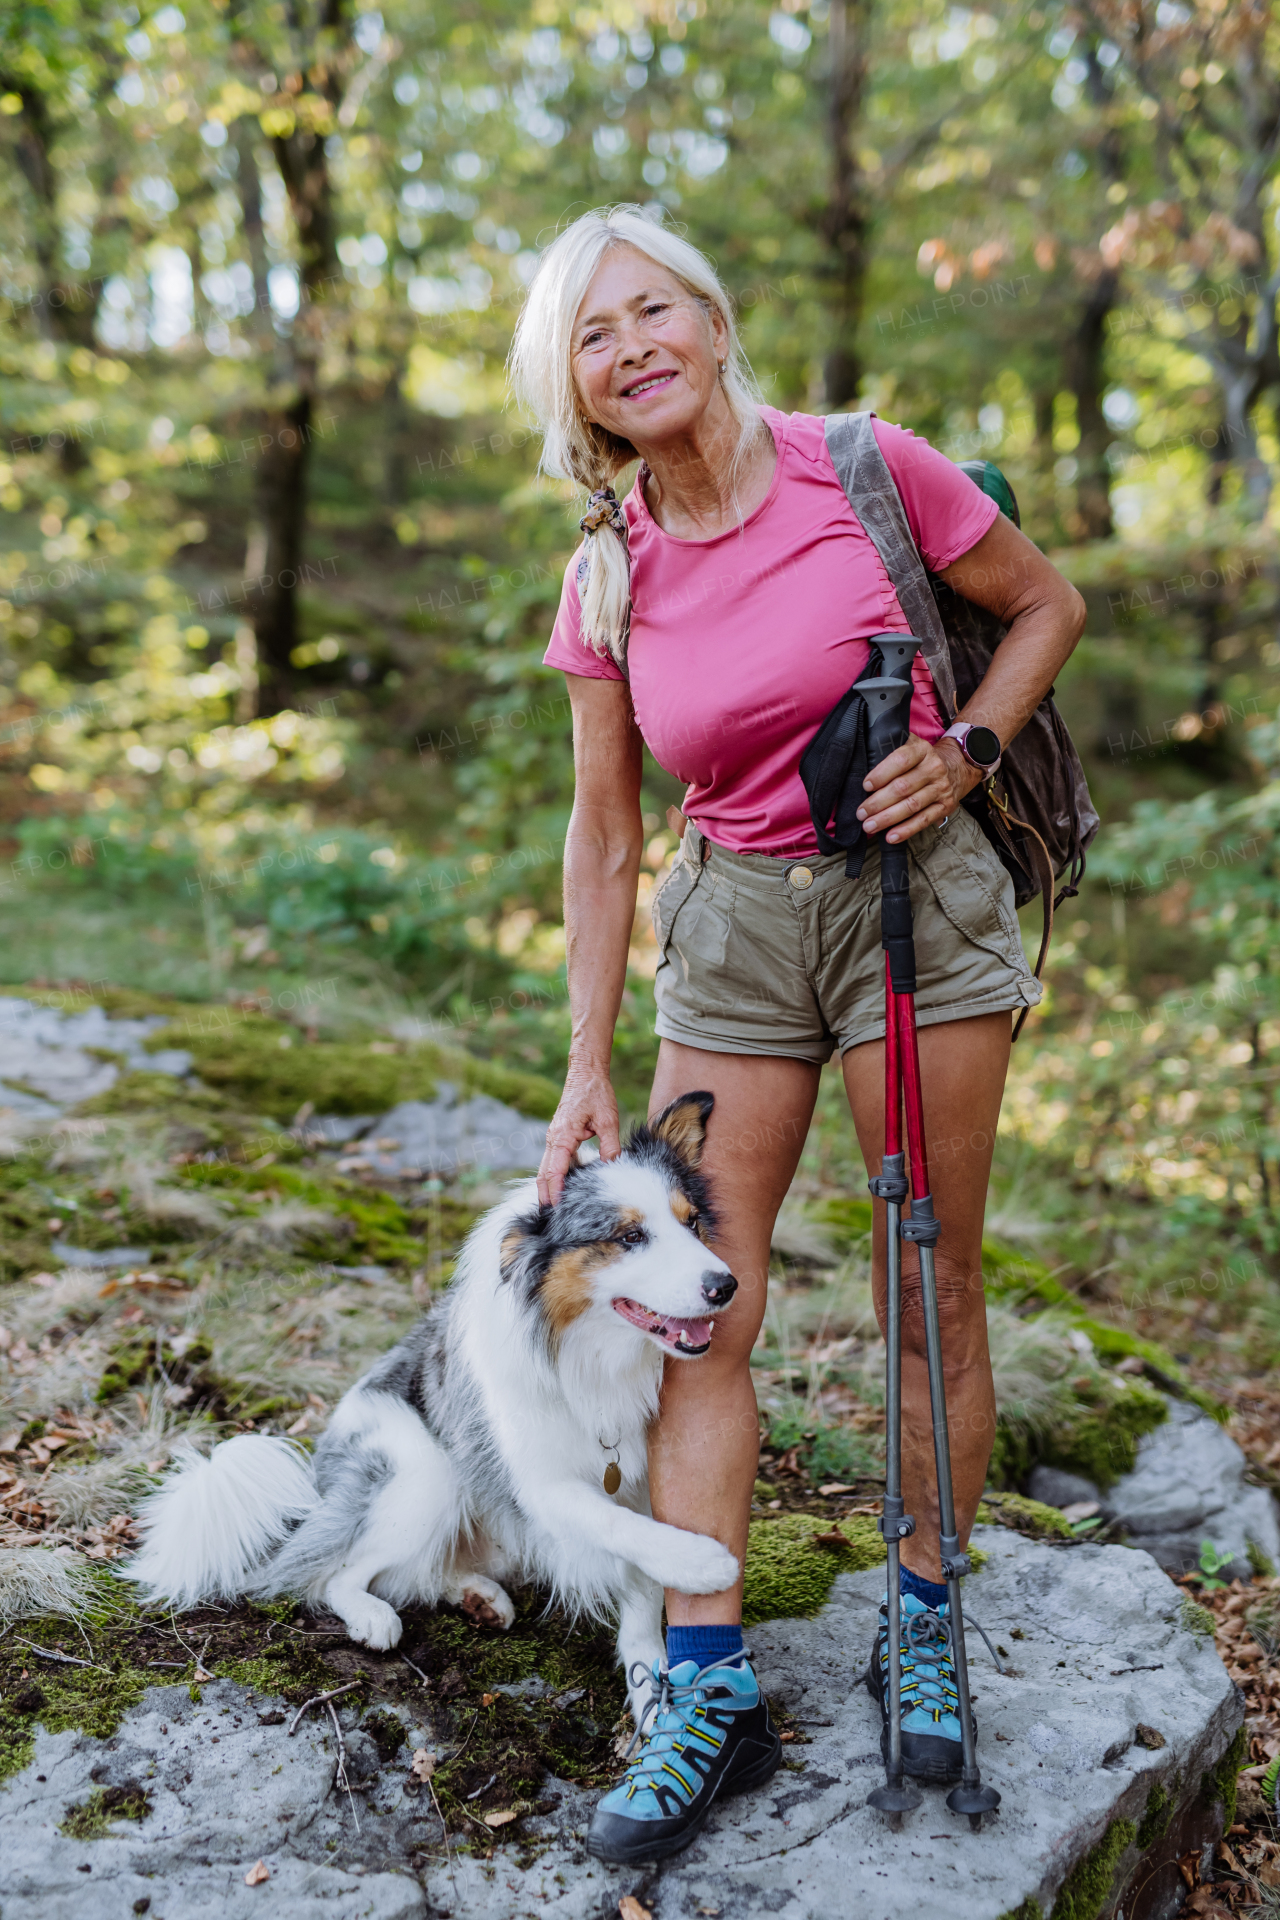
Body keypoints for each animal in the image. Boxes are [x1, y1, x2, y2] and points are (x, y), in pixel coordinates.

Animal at [124, 1090, 740, 1720]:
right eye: (629, 1237)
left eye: (692, 1222)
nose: (726, 1286)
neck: (593, 1356)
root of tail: (320, 1484)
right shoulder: (544, 1486)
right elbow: (618, 1526)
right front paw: (703, 1563)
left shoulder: (640, 1481)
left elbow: (642, 1590)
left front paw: (655, 1689)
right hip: (427, 1474)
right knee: (330, 1574)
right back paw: (374, 1617)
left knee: (418, 1570)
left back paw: (478, 1596)